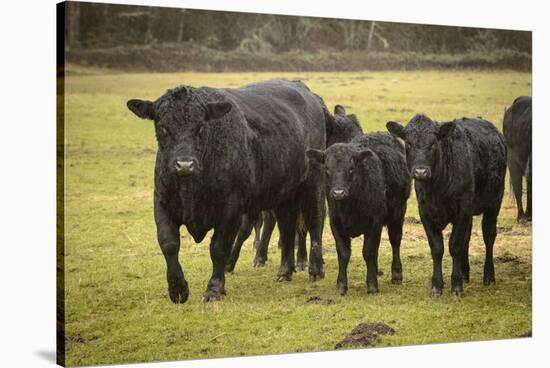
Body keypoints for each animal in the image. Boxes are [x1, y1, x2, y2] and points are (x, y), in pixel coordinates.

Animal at [127, 79, 330, 304]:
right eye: (163, 127)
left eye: (201, 127)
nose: (184, 164)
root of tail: (305, 91)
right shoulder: (162, 203)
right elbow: (169, 243)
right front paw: (177, 288)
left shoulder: (230, 210)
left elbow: (219, 248)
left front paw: (214, 289)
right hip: (283, 194)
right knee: (287, 226)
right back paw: (284, 271)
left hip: (313, 182)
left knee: (314, 220)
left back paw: (315, 268)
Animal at [308, 134, 412, 294]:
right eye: (327, 169)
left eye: (351, 169)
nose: (338, 193)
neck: (349, 207)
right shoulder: (335, 223)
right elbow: (344, 253)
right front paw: (341, 286)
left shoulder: (374, 223)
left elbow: (368, 252)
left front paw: (372, 285)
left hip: (398, 213)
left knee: (395, 241)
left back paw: (396, 275)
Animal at [386, 115, 506, 296]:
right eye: (408, 143)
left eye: (433, 144)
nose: (420, 172)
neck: (438, 188)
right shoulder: (426, 212)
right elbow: (437, 248)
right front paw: (437, 285)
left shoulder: (462, 211)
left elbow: (455, 245)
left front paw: (456, 286)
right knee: (467, 238)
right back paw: (465, 274)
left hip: (494, 203)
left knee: (489, 236)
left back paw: (488, 276)